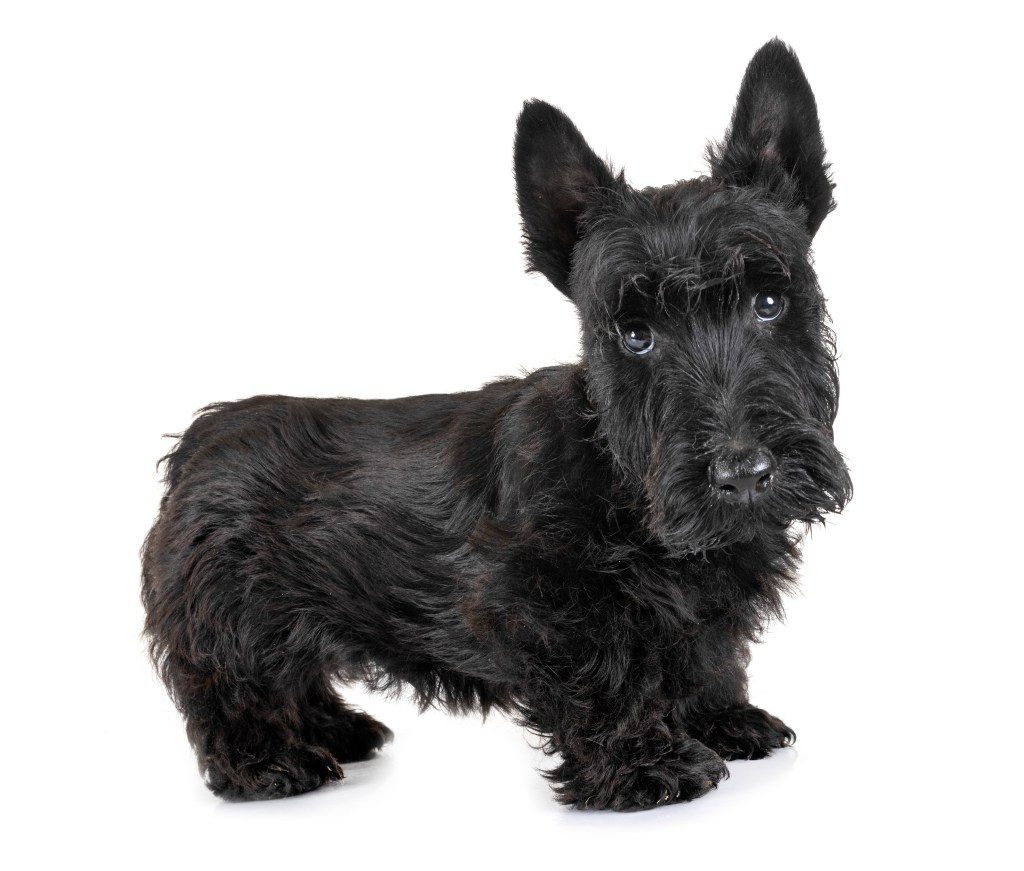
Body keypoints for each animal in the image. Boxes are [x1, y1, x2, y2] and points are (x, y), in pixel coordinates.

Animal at [142, 35, 847, 810]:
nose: (743, 474)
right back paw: (271, 762)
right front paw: (644, 764)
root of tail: (204, 437)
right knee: (232, 689)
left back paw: (340, 729)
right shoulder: (544, 598)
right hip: (231, 615)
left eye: (769, 302)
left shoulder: (705, 604)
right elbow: (605, 673)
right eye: (635, 335)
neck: (620, 475)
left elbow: (706, 650)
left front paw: (721, 719)